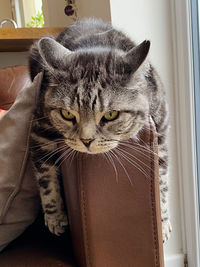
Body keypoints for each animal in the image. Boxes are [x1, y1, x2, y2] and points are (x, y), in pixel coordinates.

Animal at [28, 17, 171, 243]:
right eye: (67, 114)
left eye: (111, 115)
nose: (86, 140)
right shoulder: (39, 130)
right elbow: (46, 178)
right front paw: (55, 217)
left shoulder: (161, 134)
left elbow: (162, 182)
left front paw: (163, 222)